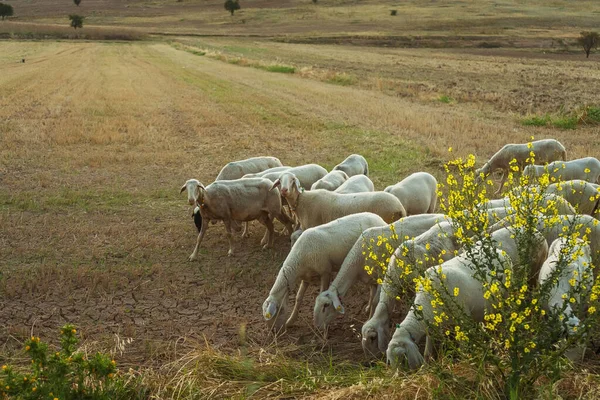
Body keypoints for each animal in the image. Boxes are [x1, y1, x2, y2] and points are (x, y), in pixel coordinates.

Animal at [314, 216, 450, 332]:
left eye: (326, 305)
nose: (317, 327)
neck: (358, 259)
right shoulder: (371, 279)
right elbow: (371, 296)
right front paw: (368, 309)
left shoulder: (382, 276)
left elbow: (375, 301)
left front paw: (369, 318)